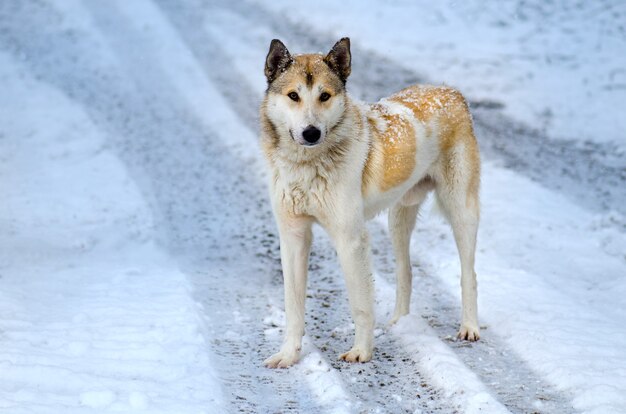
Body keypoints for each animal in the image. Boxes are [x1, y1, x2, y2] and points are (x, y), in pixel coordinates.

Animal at [258, 38, 478, 368]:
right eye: (293, 95)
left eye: (324, 96)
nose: (311, 133)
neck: (307, 166)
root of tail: (451, 92)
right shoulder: (293, 236)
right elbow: (293, 307)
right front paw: (288, 355)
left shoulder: (351, 240)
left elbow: (360, 305)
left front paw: (361, 351)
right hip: (399, 218)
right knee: (405, 270)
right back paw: (399, 323)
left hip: (462, 212)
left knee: (469, 273)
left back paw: (469, 327)